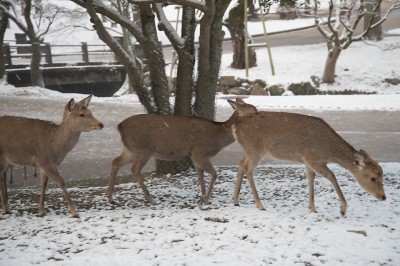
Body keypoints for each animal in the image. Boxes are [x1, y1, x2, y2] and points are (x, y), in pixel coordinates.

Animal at [108, 97, 258, 206]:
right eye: (253, 111)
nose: (260, 116)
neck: (218, 137)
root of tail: (119, 127)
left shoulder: (194, 156)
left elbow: (200, 176)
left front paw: (203, 197)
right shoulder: (200, 153)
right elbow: (214, 174)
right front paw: (206, 198)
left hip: (130, 150)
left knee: (115, 162)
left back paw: (110, 198)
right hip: (142, 149)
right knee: (134, 170)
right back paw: (151, 199)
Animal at [230, 98, 386, 215]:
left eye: (382, 175)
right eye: (373, 178)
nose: (383, 196)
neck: (329, 151)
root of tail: (235, 127)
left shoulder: (308, 161)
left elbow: (311, 178)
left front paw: (313, 208)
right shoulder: (314, 158)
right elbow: (332, 176)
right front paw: (343, 209)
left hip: (250, 150)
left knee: (241, 164)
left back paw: (236, 201)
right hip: (256, 149)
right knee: (248, 169)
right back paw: (260, 204)